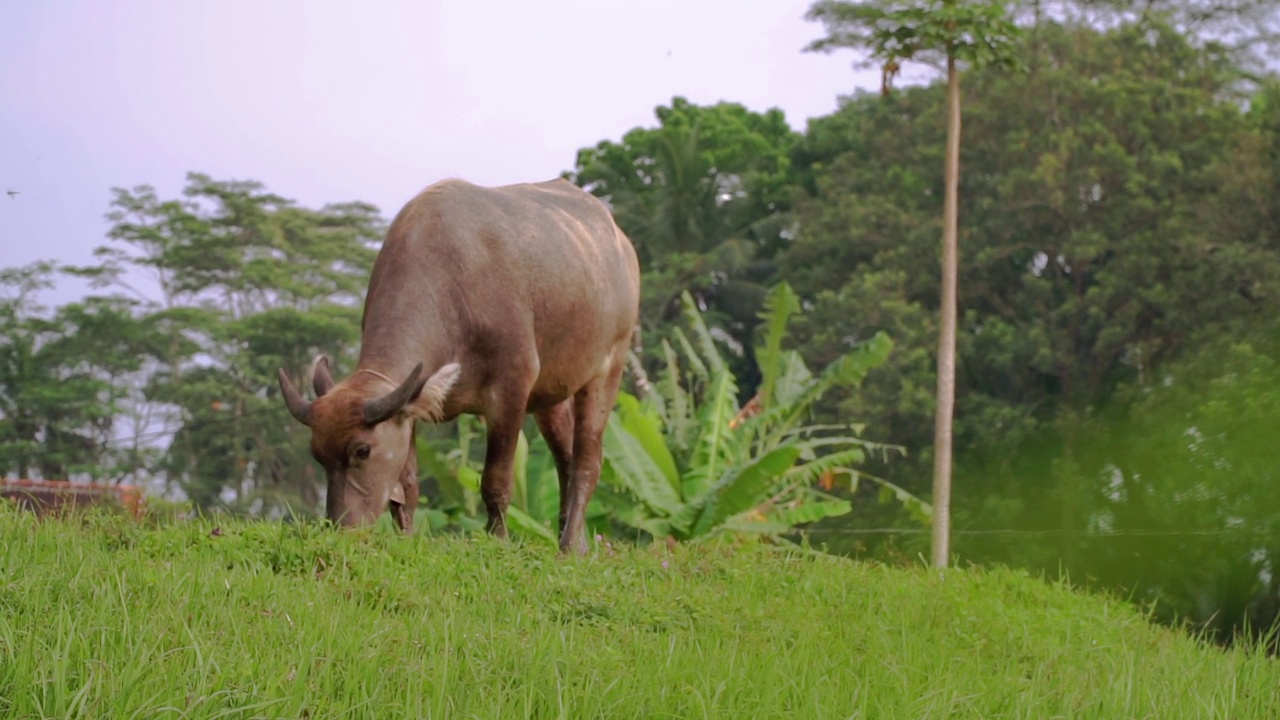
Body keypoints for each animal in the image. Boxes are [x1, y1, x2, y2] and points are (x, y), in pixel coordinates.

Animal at [279, 178, 640, 548]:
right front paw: (406, 539)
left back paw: (567, 547)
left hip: (609, 368)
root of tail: (621, 243)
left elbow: (496, 481)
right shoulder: (410, 406)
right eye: (317, 454)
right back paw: (577, 542)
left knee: (587, 462)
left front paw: (498, 541)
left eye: (362, 451)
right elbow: (406, 488)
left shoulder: (510, 390)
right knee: (565, 456)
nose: (342, 527)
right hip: (550, 394)